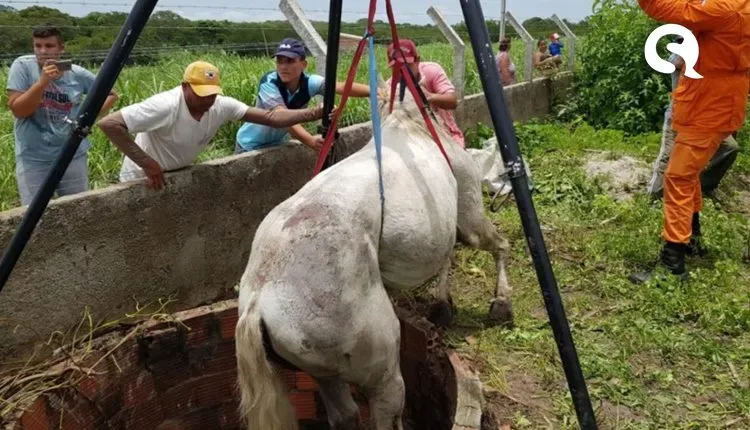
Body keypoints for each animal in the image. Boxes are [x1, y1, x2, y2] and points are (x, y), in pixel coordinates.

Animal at [235, 80, 512, 430]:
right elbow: (496, 244)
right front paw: (500, 302)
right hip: (381, 369)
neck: (411, 125)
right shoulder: (468, 212)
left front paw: (443, 304)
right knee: (385, 410)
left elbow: (449, 254)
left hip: (323, 372)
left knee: (344, 414)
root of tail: (257, 301)